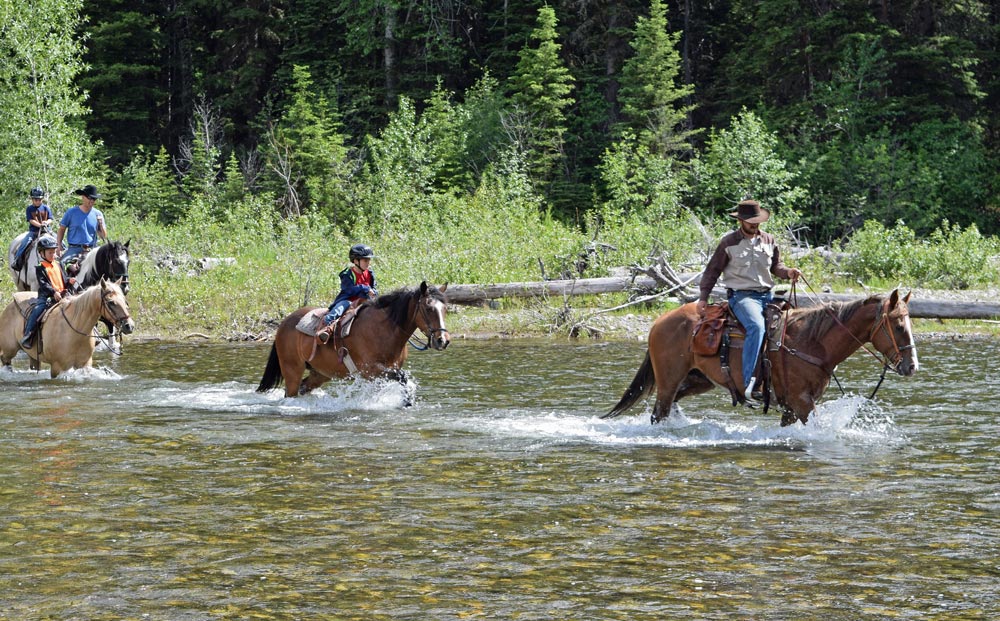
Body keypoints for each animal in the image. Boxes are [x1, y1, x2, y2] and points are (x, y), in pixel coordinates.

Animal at [0, 278, 135, 376]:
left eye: (124, 300)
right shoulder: (57, 367)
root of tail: (10, 305)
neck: (75, 330)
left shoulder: (85, 364)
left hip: (32, 355)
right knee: (5, 361)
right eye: (111, 302)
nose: (129, 326)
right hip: (9, 350)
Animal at [258, 282, 450, 398]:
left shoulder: (382, 373)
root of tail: (284, 324)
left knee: (304, 387)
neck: (384, 331)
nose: (443, 340)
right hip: (292, 370)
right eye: (428, 308)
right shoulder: (371, 370)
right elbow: (402, 377)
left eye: (445, 308)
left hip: (320, 373)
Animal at [604, 290, 916, 426]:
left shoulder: (792, 406)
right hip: (669, 379)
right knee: (660, 411)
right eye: (899, 325)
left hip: (698, 379)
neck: (813, 342)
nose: (912, 366)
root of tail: (660, 321)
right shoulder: (802, 401)